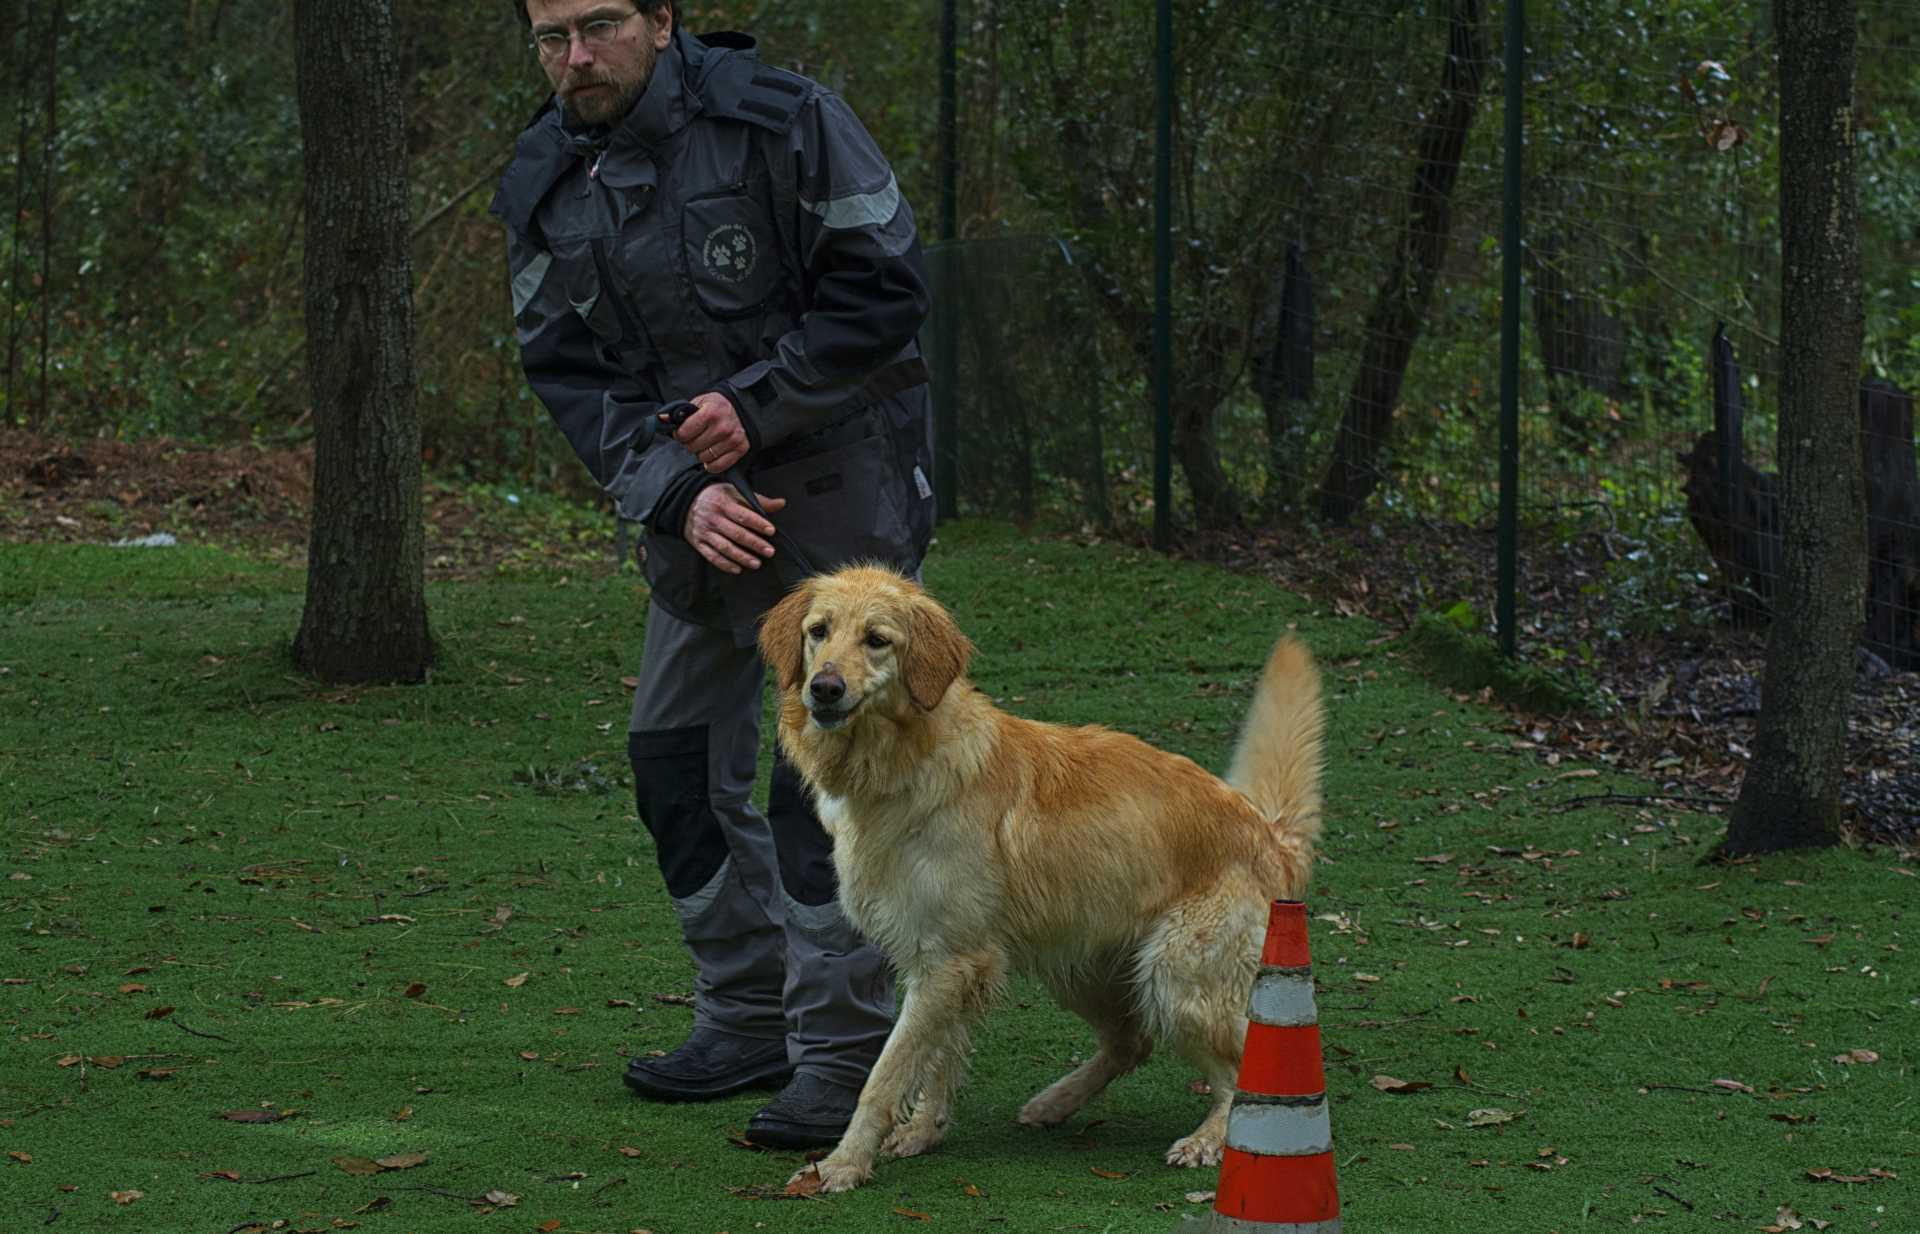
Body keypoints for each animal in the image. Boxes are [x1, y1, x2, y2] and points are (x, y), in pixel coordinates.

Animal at [756, 564, 1328, 1189]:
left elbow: (885, 1076)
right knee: (1132, 1042)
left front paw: (843, 1163)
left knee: (1241, 1068)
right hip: (1080, 967)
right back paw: (1055, 1102)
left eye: (877, 640)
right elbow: (938, 1059)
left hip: (1176, 975)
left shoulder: (948, 960)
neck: (901, 761)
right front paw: (923, 1131)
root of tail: (1267, 832)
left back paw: (1209, 1139)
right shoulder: (950, 964)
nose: (824, 688)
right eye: (818, 631)